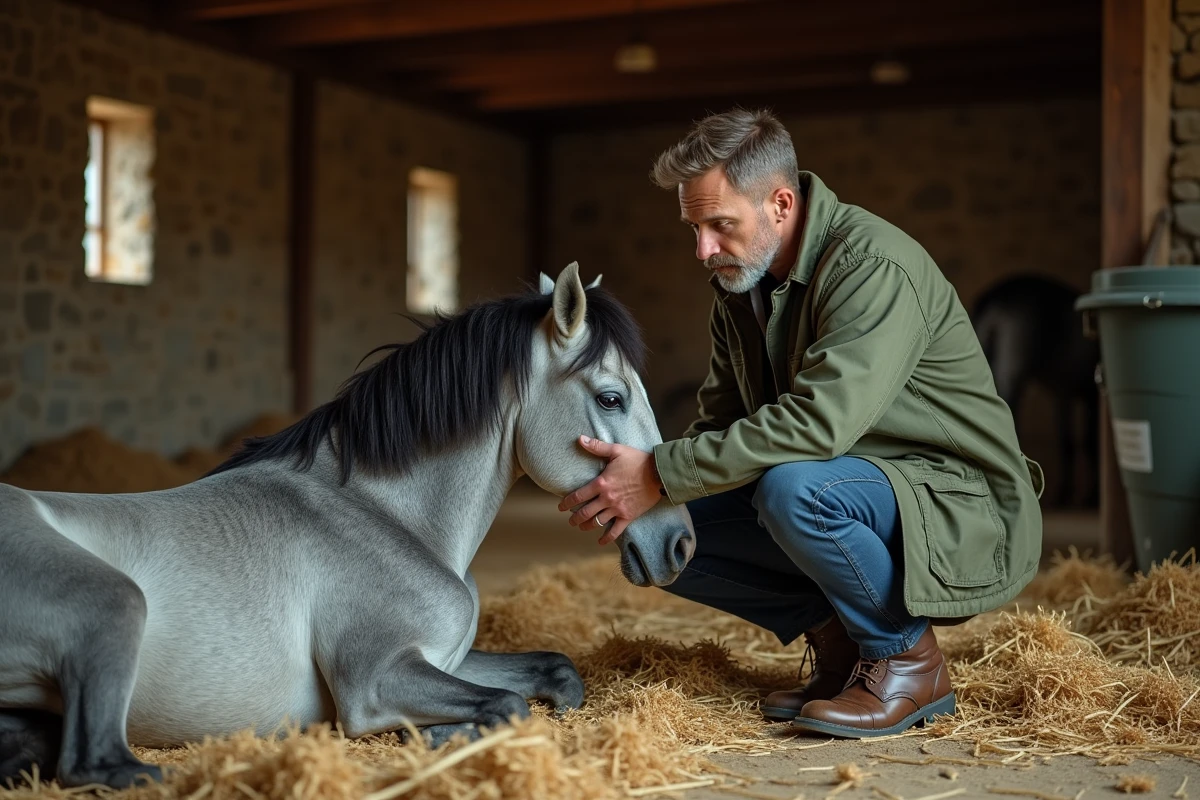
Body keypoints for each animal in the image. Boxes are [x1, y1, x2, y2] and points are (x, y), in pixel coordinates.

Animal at [0, 263, 695, 790]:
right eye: (610, 397)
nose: (680, 542)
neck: (382, 515)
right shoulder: (376, 676)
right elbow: (507, 706)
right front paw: (435, 735)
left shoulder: (448, 657)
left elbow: (553, 673)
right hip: (115, 604)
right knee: (100, 765)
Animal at [970, 273, 1099, 508]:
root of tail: (995, 300)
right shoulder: (1091, 397)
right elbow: (1089, 442)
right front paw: (1091, 496)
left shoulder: (1063, 396)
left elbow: (1067, 441)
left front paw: (1065, 495)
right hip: (1012, 374)